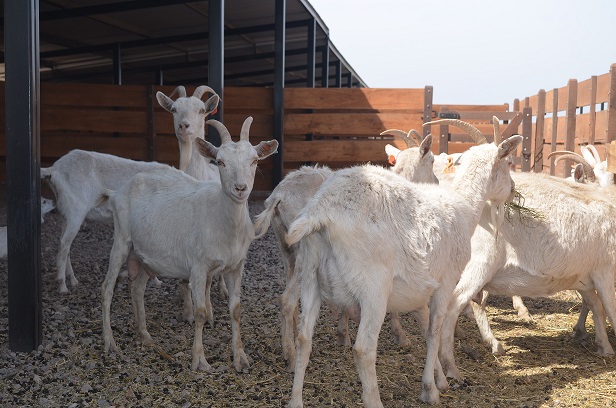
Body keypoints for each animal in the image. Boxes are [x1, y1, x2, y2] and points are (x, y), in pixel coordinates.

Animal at [100, 117, 278, 372]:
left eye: (254, 160)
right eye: (220, 162)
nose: (240, 189)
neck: (222, 220)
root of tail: (117, 192)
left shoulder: (237, 266)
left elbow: (235, 310)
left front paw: (241, 358)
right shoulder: (199, 267)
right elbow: (200, 312)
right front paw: (199, 360)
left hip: (144, 254)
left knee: (137, 289)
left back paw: (145, 336)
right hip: (121, 239)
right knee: (107, 289)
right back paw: (110, 343)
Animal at [251, 129, 438, 372]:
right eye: (432, 160)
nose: (436, 181)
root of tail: (278, 196)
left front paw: (343, 334)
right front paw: (400, 335)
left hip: (286, 250)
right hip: (303, 254)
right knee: (287, 300)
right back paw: (291, 356)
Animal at [286, 135, 524, 406]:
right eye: (509, 163)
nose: (513, 188)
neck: (464, 207)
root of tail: (321, 212)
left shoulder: (419, 290)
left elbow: (424, 327)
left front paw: (438, 378)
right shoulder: (446, 282)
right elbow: (434, 332)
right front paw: (431, 388)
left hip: (310, 276)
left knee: (304, 339)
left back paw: (295, 400)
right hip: (373, 288)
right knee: (363, 349)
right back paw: (374, 400)